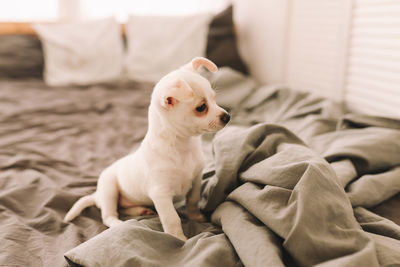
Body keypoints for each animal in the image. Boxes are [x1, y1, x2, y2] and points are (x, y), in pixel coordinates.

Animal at [64, 57, 230, 242]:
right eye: (201, 108)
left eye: (214, 99)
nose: (227, 117)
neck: (182, 146)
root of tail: (97, 195)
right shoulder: (161, 194)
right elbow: (172, 218)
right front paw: (179, 238)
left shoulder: (195, 180)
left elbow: (193, 201)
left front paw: (196, 217)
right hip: (109, 190)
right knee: (109, 215)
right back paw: (119, 224)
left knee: (123, 208)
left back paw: (140, 210)